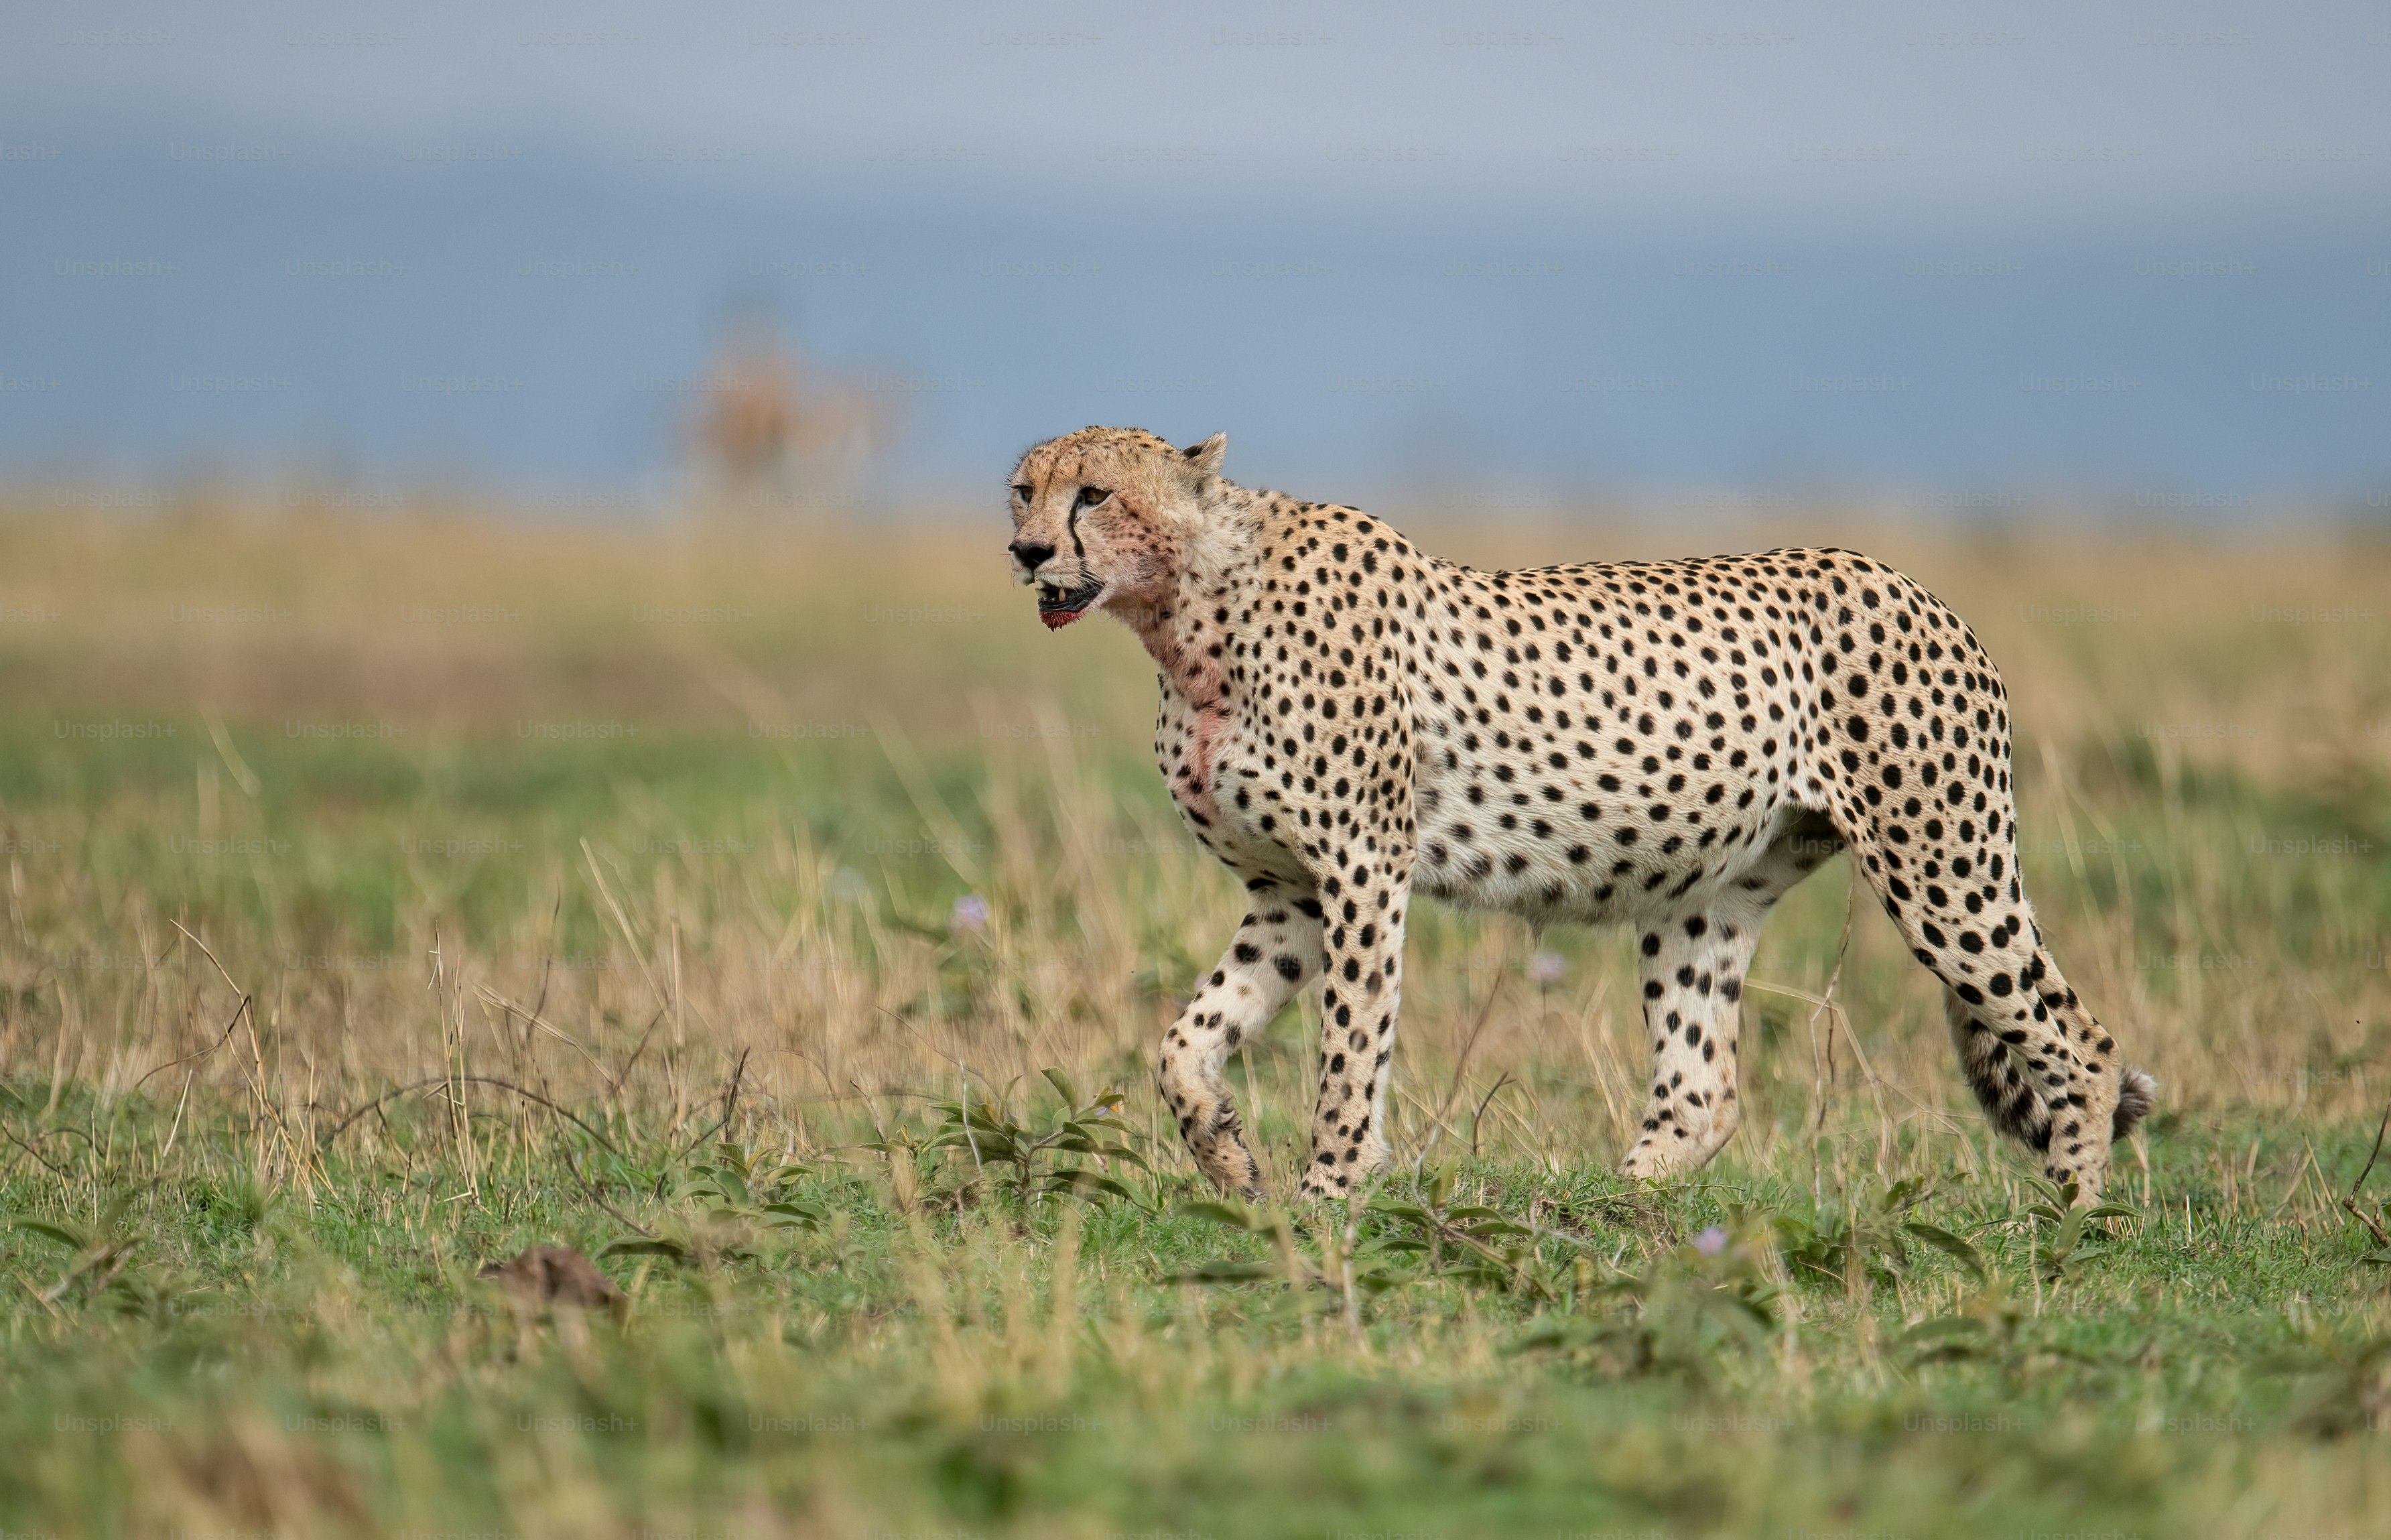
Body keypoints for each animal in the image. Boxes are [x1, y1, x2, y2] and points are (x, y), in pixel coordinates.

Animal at [1004, 425, 2154, 1205]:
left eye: (1093, 494)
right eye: (1023, 491)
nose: (1024, 551)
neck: (1189, 609)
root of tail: (1915, 583)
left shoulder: (1362, 872)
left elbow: (1350, 1048)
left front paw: (1330, 1192)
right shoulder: (1287, 892)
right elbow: (1183, 1040)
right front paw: (1230, 1157)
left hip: (1943, 866)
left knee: (2080, 1038)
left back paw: (2073, 1217)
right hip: (1707, 894)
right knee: (1703, 1088)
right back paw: (1620, 1210)